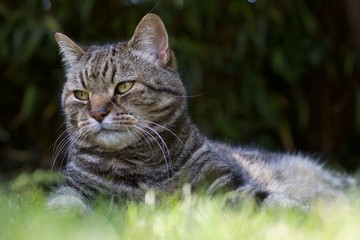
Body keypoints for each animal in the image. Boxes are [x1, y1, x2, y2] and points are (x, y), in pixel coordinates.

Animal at [49, 13, 356, 212]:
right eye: (81, 95)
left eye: (124, 87)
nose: (98, 113)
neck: (142, 165)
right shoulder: (73, 188)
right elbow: (62, 206)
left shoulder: (226, 185)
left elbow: (270, 200)